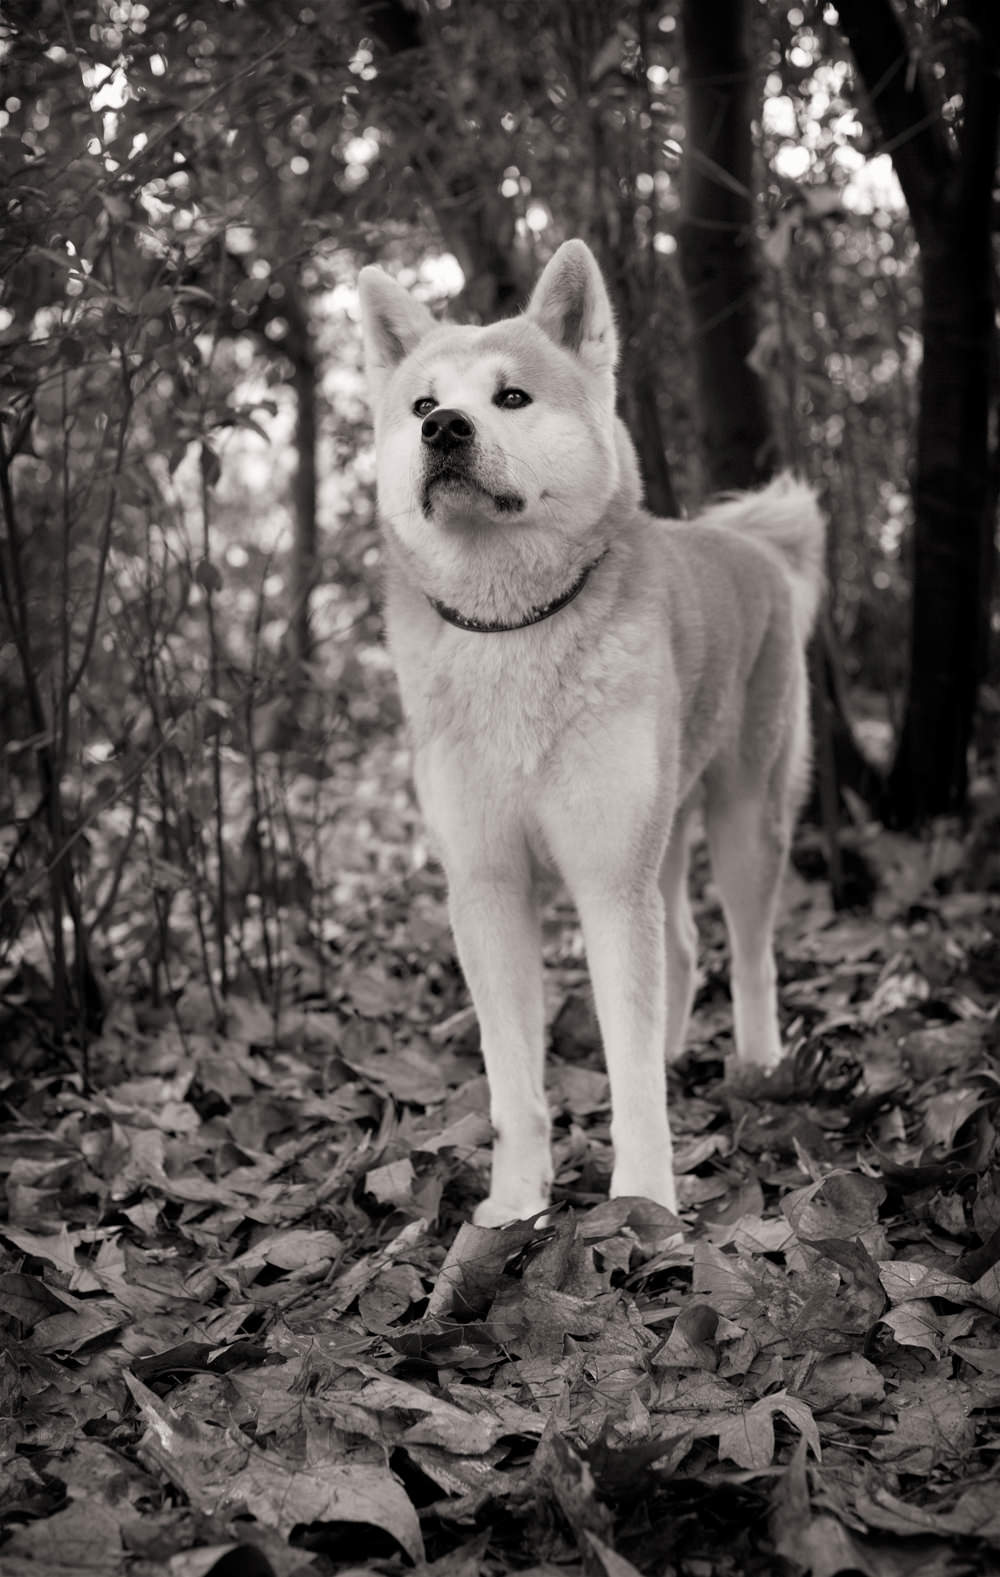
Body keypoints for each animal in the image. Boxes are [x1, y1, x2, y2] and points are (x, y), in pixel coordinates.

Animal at [354, 239, 820, 1223]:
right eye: (420, 404)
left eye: (511, 397)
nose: (444, 429)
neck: (513, 633)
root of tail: (753, 544)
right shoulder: (489, 886)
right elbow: (513, 1084)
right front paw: (513, 1207)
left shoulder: (608, 880)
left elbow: (628, 1072)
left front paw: (643, 1205)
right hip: (663, 829)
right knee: (683, 946)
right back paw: (682, 1050)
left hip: (742, 819)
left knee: (750, 950)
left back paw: (759, 1067)